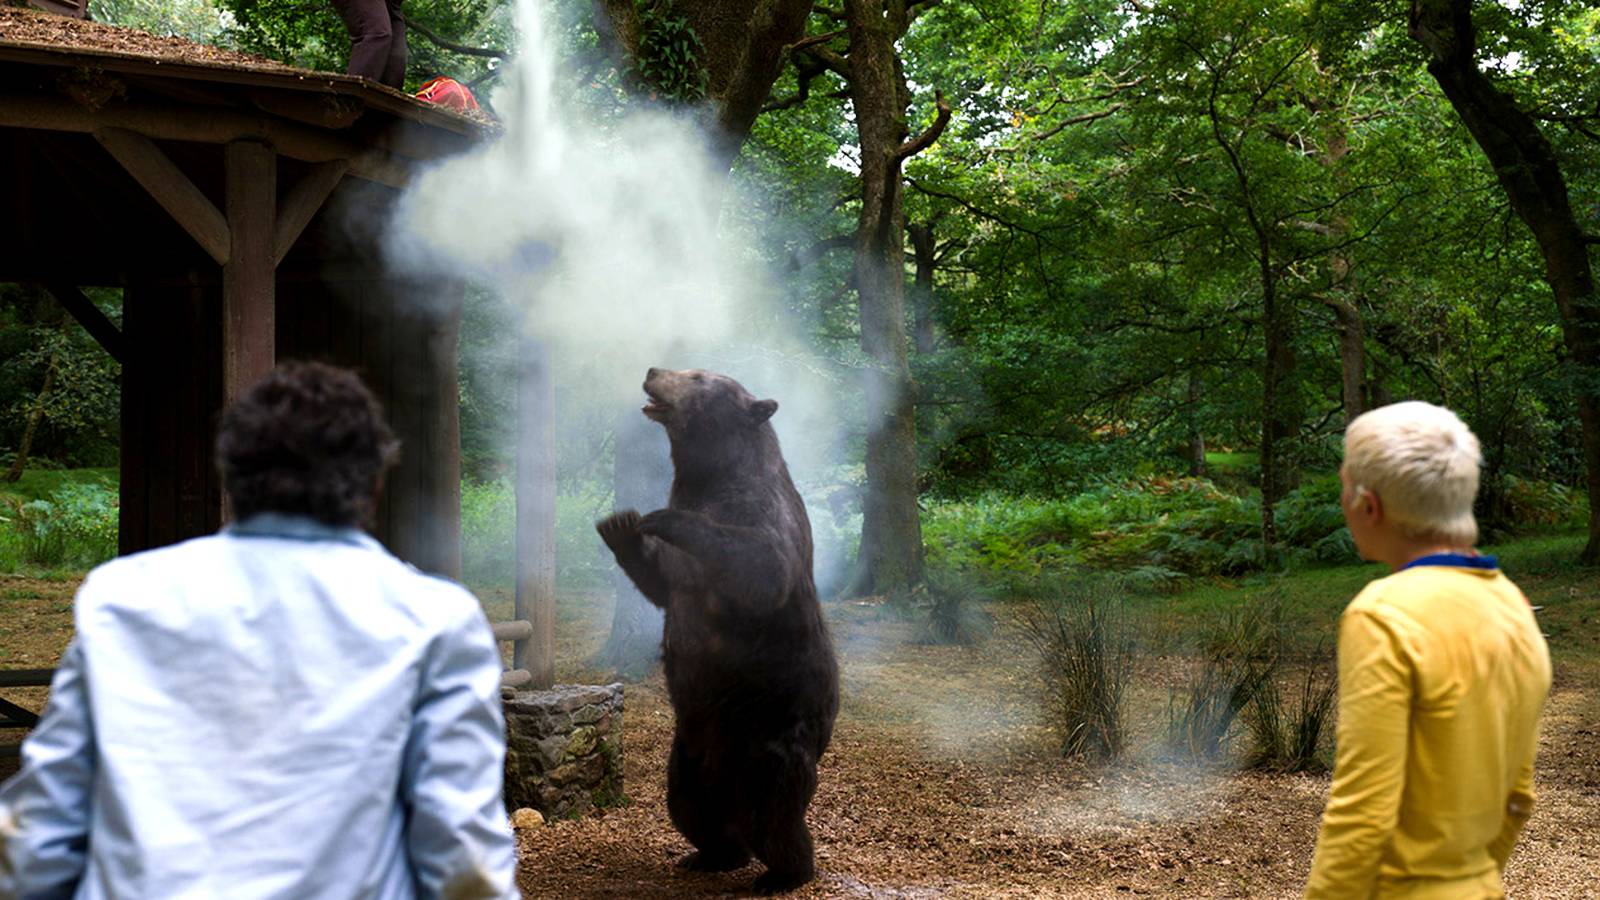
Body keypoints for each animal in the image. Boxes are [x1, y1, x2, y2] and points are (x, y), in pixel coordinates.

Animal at [596, 367, 840, 895]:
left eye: (698, 376)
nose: (652, 371)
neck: (711, 474)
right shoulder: (680, 572)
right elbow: (662, 584)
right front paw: (620, 525)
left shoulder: (761, 514)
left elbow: (761, 565)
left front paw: (659, 517)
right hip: (688, 752)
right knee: (690, 807)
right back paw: (709, 855)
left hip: (770, 739)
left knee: (777, 816)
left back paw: (783, 874)